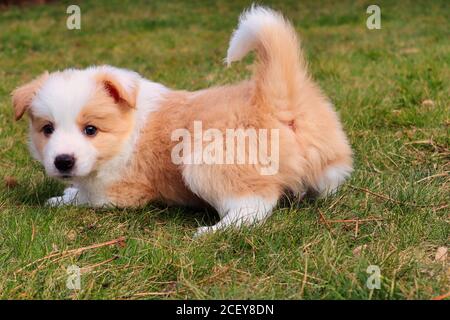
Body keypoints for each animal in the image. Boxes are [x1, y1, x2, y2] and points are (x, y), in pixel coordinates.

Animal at [12, 5, 354, 235]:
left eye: (91, 130)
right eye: (47, 129)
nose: (63, 161)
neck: (127, 130)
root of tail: (276, 103)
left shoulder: (117, 191)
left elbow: (86, 196)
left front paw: (63, 198)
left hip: (205, 162)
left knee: (255, 204)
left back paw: (213, 231)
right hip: (331, 163)